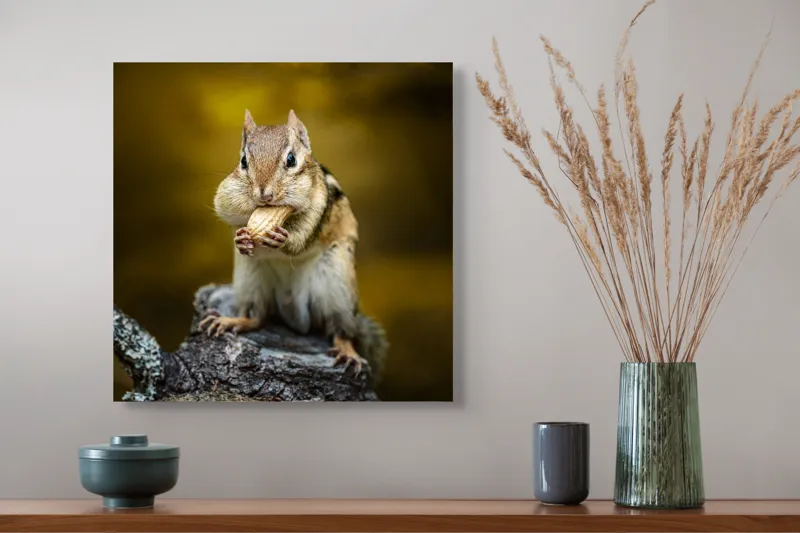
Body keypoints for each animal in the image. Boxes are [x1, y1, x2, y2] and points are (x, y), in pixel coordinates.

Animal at [199, 109, 388, 381]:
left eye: (291, 159)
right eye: (244, 161)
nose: (264, 195)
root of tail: (294, 311)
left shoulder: (319, 206)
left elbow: (301, 239)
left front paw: (284, 239)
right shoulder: (228, 195)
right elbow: (227, 211)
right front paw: (241, 238)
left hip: (336, 285)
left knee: (339, 330)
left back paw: (347, 351)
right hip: (251, 279)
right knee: (258, 317)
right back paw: (231, 321)